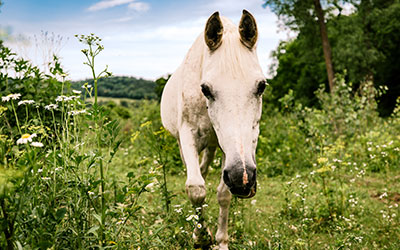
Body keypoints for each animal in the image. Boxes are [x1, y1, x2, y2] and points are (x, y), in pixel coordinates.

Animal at [159, 10, 266, 250]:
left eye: (261, 86)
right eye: (205, 89)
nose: (242, 179)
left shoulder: (233, 148)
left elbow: (223, 194)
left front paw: (221, 241)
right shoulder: (188, 137)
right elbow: (196, 188)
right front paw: (200, 236)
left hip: (213, 146)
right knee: (197, 172)